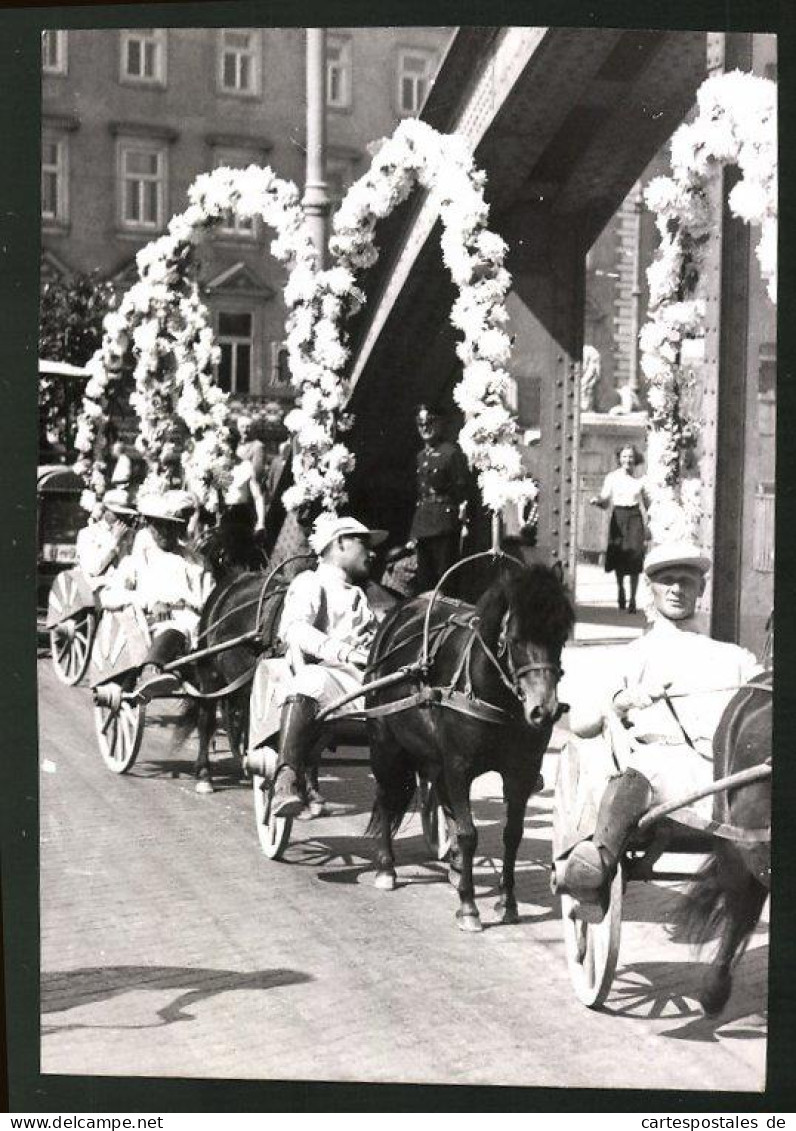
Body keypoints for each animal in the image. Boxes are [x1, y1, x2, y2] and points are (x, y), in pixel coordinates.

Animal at [364, 560, 574, 931]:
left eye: (560, 636)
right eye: (515, 639)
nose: (544, 710)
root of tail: (398, 611)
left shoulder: (521, 771)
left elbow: (512, 834)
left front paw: (507, 902)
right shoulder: (459, 766)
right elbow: (468, 833)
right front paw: (469, 906)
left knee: (438, 799)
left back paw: (456, 868)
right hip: (386, 745)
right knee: (387, 797)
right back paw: (387, 867)